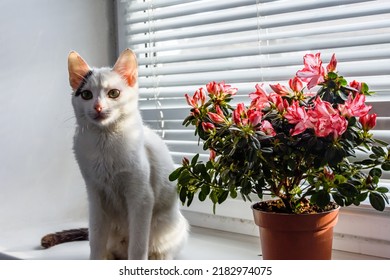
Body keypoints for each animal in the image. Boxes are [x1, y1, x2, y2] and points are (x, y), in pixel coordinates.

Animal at [65, 48, 189, 260]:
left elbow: (138, 246)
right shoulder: (95, 196)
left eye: (114, 93)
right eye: (86, 94)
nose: (98, 107)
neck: (105, 142)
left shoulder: (141, 197)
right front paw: (96, 258)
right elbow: (96, 240)